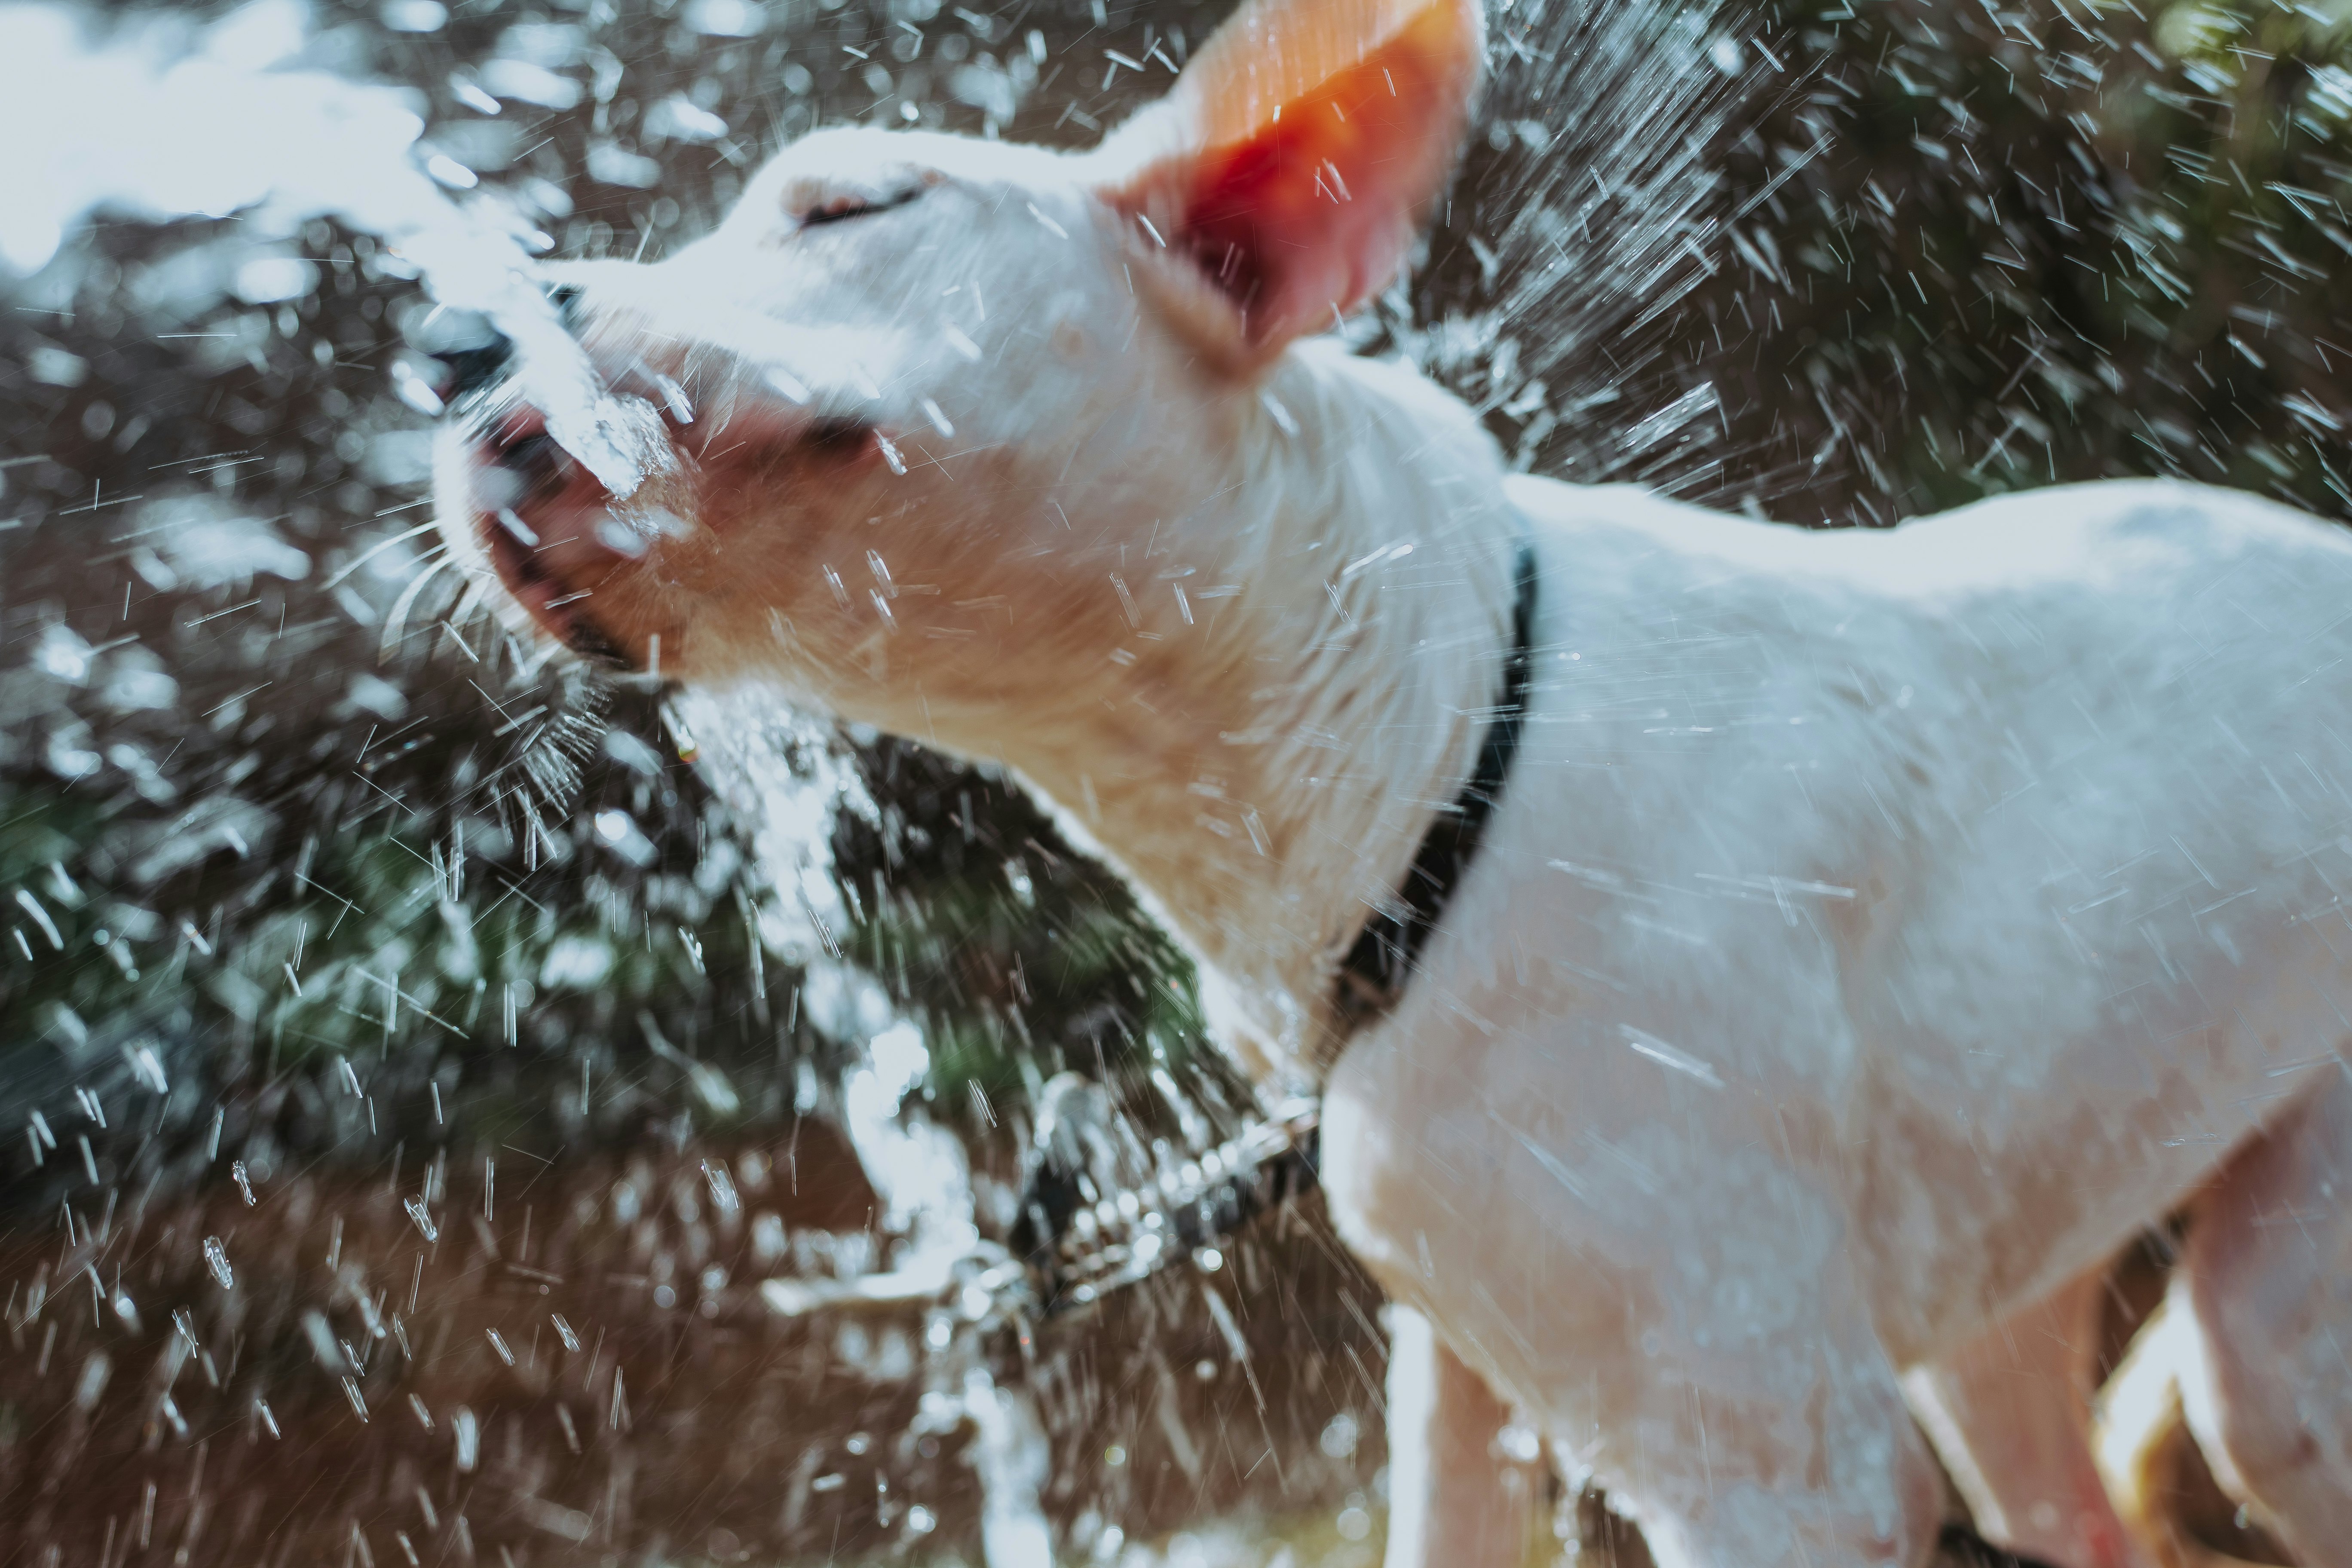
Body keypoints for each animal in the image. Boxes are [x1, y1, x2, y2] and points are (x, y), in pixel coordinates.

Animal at [428, 0, 2352, 1561]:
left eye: (850, 209)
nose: (451, 344)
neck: (1429, 742)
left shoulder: (1782, 1469)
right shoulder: (1460, 1375)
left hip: (2279, 1342)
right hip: (2016, 1269)